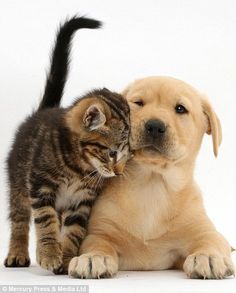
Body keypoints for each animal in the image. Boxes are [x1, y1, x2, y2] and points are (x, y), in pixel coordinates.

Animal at [4, 16, 131, 274]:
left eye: (126, 154)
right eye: (112, 153)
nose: (118, 172)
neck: (79, 166)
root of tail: (40, 112)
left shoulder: (81, 200)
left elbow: (74, 229)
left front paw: (66, 257)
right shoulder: (41, 186)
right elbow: (46, 220)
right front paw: (50, 254)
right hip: (18, 183)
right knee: (19, 219)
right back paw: (17, 253)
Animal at [68, 76, 234, 278]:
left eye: (181, 108)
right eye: (138, 103)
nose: (155, 126)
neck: (152, 184)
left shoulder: (203, 230)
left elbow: (211, 240)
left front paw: (208, 257)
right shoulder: (100, 230)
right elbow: (97, 243)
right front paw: (94, 257)